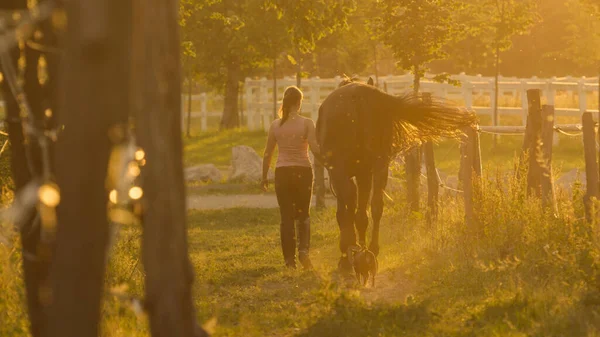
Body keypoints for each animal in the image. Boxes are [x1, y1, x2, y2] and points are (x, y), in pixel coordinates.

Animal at [316, 77, 476, 270]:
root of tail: (359, 95)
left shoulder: (339, 175)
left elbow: (343, 211)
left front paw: (346, 249)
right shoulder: (364, 174)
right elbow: (361, 212)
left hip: (345, 171)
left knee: (351, 200)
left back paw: (351, 251)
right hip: (379, 167)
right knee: (376, 205)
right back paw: (370, 251)